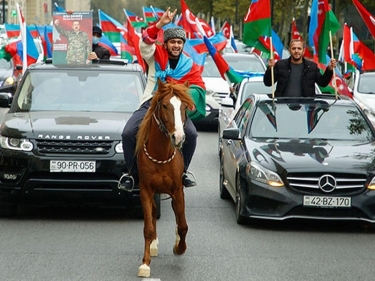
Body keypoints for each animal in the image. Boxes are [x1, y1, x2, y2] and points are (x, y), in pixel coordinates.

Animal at [136, 77, 195, 276]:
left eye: (184, 107)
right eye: (164, 106)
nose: (178, 138)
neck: (161, 154)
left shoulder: (177, 190)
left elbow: (183, 225)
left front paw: (179, 248)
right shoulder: (145, 191)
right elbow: (147, 227)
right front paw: (145, 263)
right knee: (154, 213)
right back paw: (153, 245)